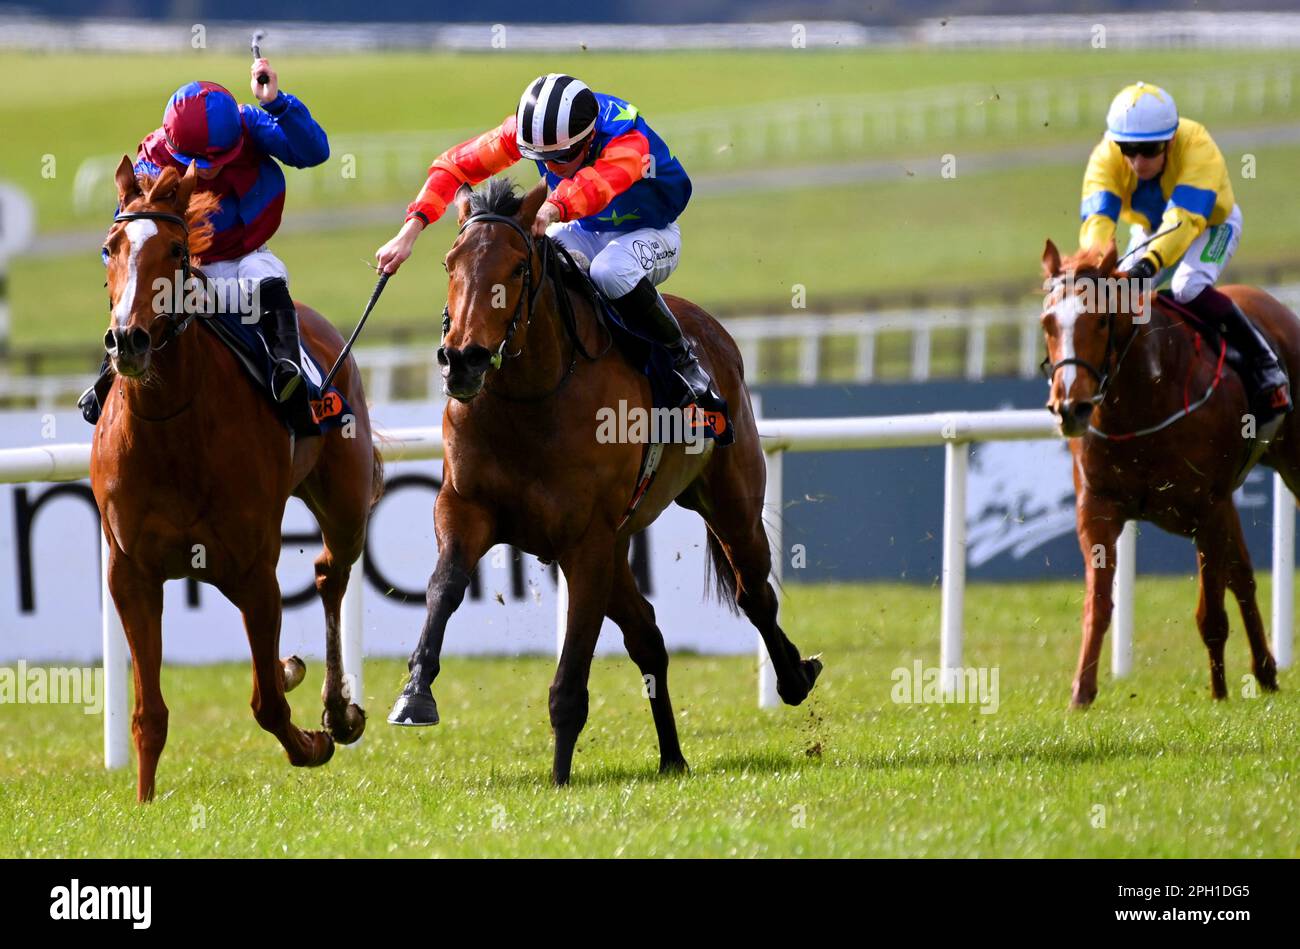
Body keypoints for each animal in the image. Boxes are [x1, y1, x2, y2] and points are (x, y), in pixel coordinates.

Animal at [92, 157, 379, 800]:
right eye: (109, 248)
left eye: (176, 250)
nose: (128, 339)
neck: (172, 426)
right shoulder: (131, 573)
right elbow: (150, 713)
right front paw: (144, 803)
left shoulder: (252, 569)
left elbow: (267, 704)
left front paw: (313, 742)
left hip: (344, 501)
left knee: (330, 573)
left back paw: (338, 711)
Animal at [387, 179, 821, 785]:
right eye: (450, 262)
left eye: (518, 268)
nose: (463, 361)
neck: (530, 398)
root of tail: (710, 329)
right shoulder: (464, 507)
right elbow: (444, 585)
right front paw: (415, 693)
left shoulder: (586, 541)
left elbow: (572, 669)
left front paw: (560, 777)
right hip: (621, 545)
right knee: (650, 638)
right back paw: (672, 756)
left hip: (730, 503)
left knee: (753, 592)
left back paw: (794, 677)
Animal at [1034, 240, 1289, 707]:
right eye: (1048, 323)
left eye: (1101, 320)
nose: (1070, 408)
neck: (1143, 397)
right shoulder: (1097, 508)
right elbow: (1098, 605)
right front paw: (1081, 693)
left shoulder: (1208, 509)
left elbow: (1211, 613)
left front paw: (1219, 694)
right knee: (1243, 577)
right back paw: (1265, 672)